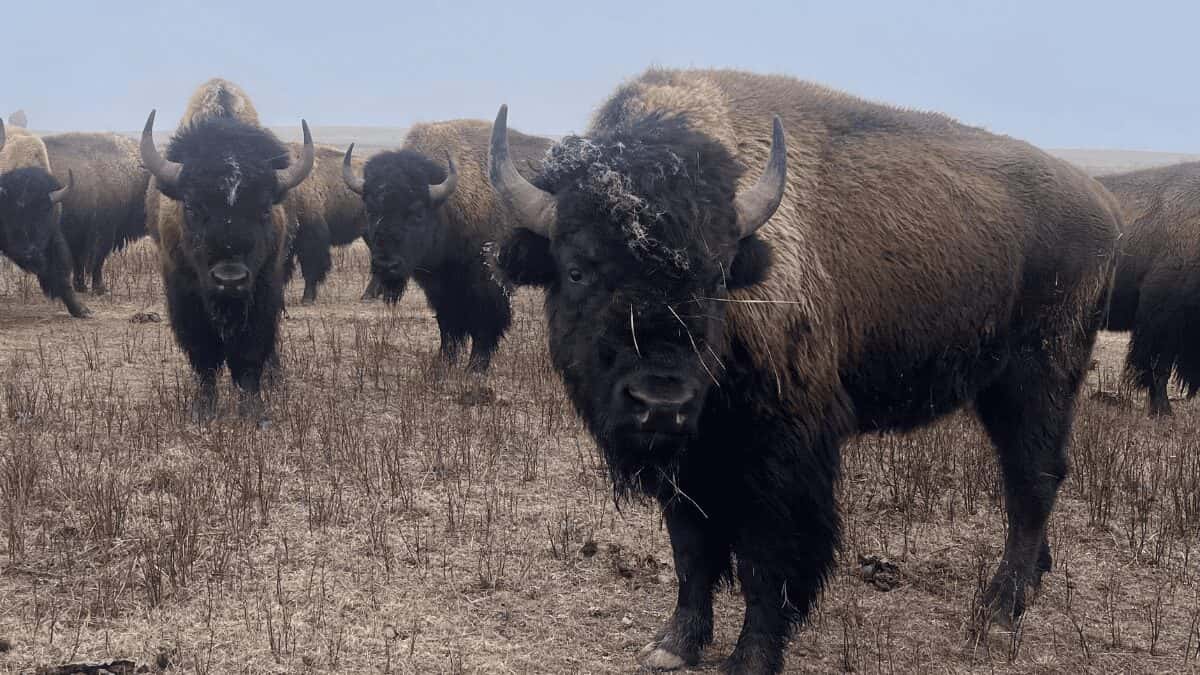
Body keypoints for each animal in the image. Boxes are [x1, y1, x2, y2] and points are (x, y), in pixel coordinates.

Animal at [0, 119, 90, 317]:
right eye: (11, 214)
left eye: (44, 213)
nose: (30, 253)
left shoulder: (52, 236)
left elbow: (62, 273)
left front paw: (81, 310)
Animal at [140, 81, 314, 424]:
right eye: (191, 207)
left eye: (264, 209)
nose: (229, 279)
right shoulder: (185, 294)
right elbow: (204, 355)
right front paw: (203, 410)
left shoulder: (263, 289)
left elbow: (250, 355)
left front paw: (255, 412)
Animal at [343, 119, 552, 371]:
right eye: (371, 211)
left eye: (417, 213)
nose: (386, 265)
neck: (448, 205)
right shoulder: (439, 286)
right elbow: (447, 323)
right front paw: (443, 362)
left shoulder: (488, 282)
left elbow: (486, 323)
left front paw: (475, 367)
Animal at [490, 69, 1119, 673]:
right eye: (576, 270)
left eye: (717, 276)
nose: (660, 401)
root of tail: (1104, 207)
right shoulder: (691, 460)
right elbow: (691, 550)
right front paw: (674, 645)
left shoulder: (783, 454)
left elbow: (768, 559)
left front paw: (750, 659)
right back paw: (1029, 585)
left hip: (1037, 378)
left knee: (1032, 480)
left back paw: (998, 613)